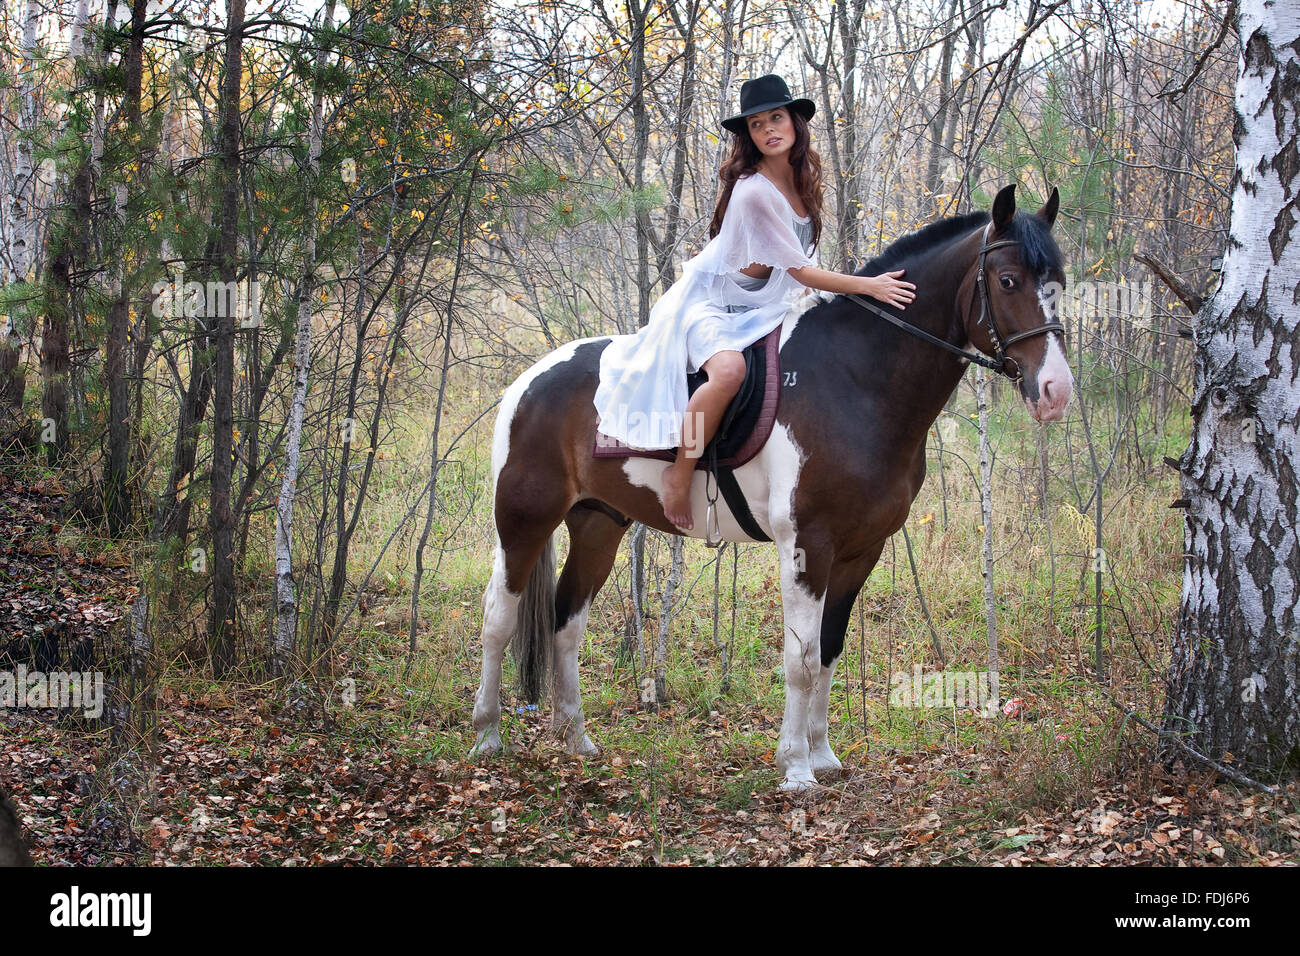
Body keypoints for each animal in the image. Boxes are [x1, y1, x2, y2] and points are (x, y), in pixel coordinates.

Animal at [470, 183, 1073, 791]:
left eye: (1059, 282)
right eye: (1008, 281)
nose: (1055, 390)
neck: (857, 380)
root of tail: (530, 379)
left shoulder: (860, 551)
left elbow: (828, 650)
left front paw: (823, 755)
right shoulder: (808, 545)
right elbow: (800, 662)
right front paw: (796, 768)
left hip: (599, 523)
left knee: (566, 622)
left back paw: (577, 739)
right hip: (523, 522)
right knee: (498, 618)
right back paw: (487, 736)